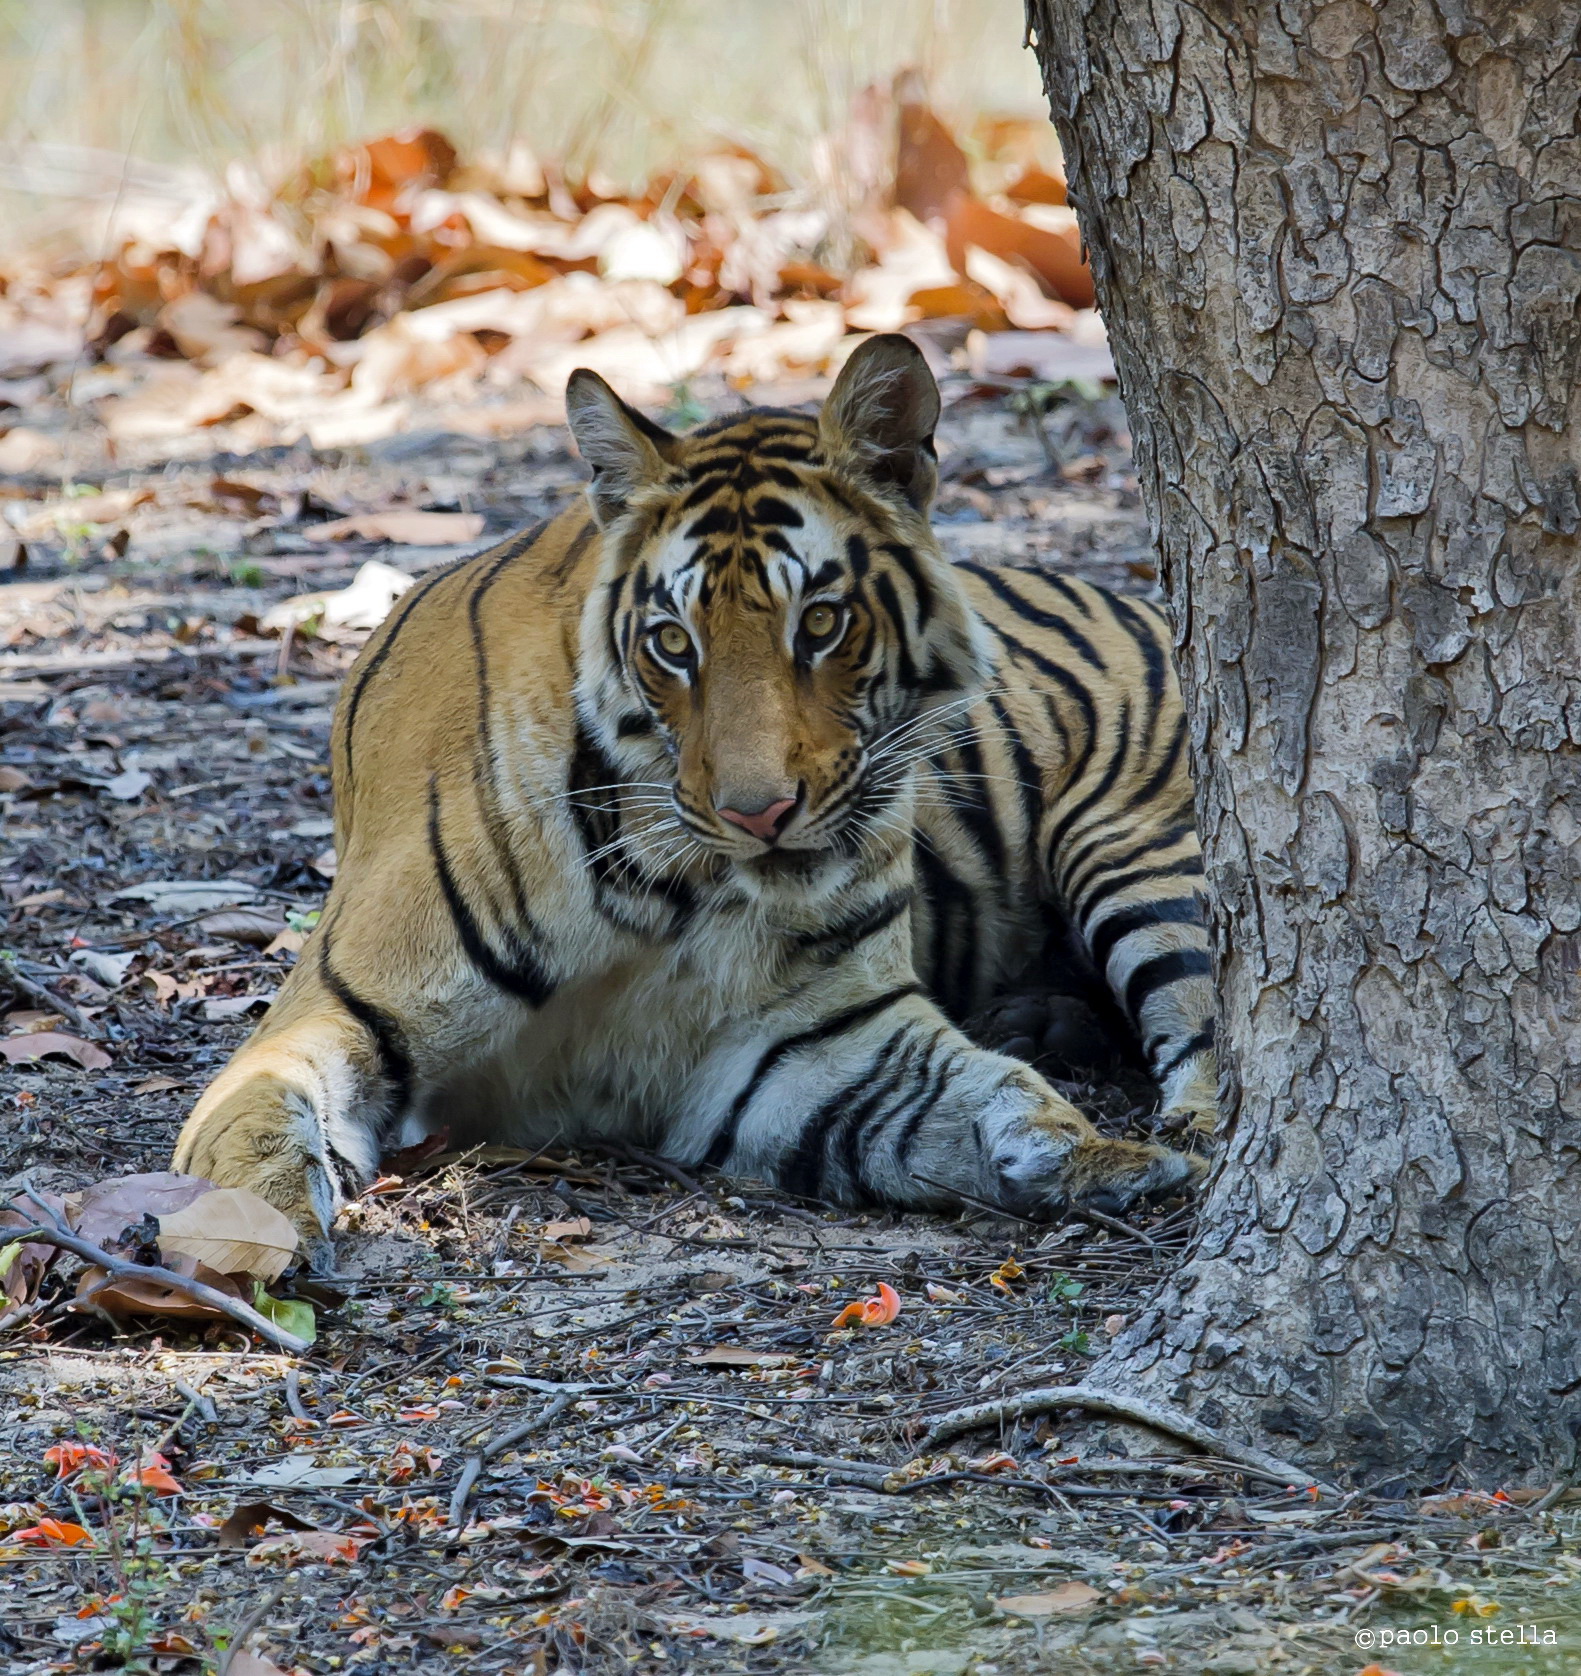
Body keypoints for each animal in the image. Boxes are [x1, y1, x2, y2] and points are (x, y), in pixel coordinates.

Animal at [173, 333, 1218, 1249]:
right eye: (673, 643)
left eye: (822, 622)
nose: (760, 814)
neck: (660, 883)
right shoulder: (336, 1011)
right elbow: (256, 1119)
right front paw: (254, 1238)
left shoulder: (811, 1041)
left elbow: (978, 1095)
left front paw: (1098, 1156)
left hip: (1142, 855)